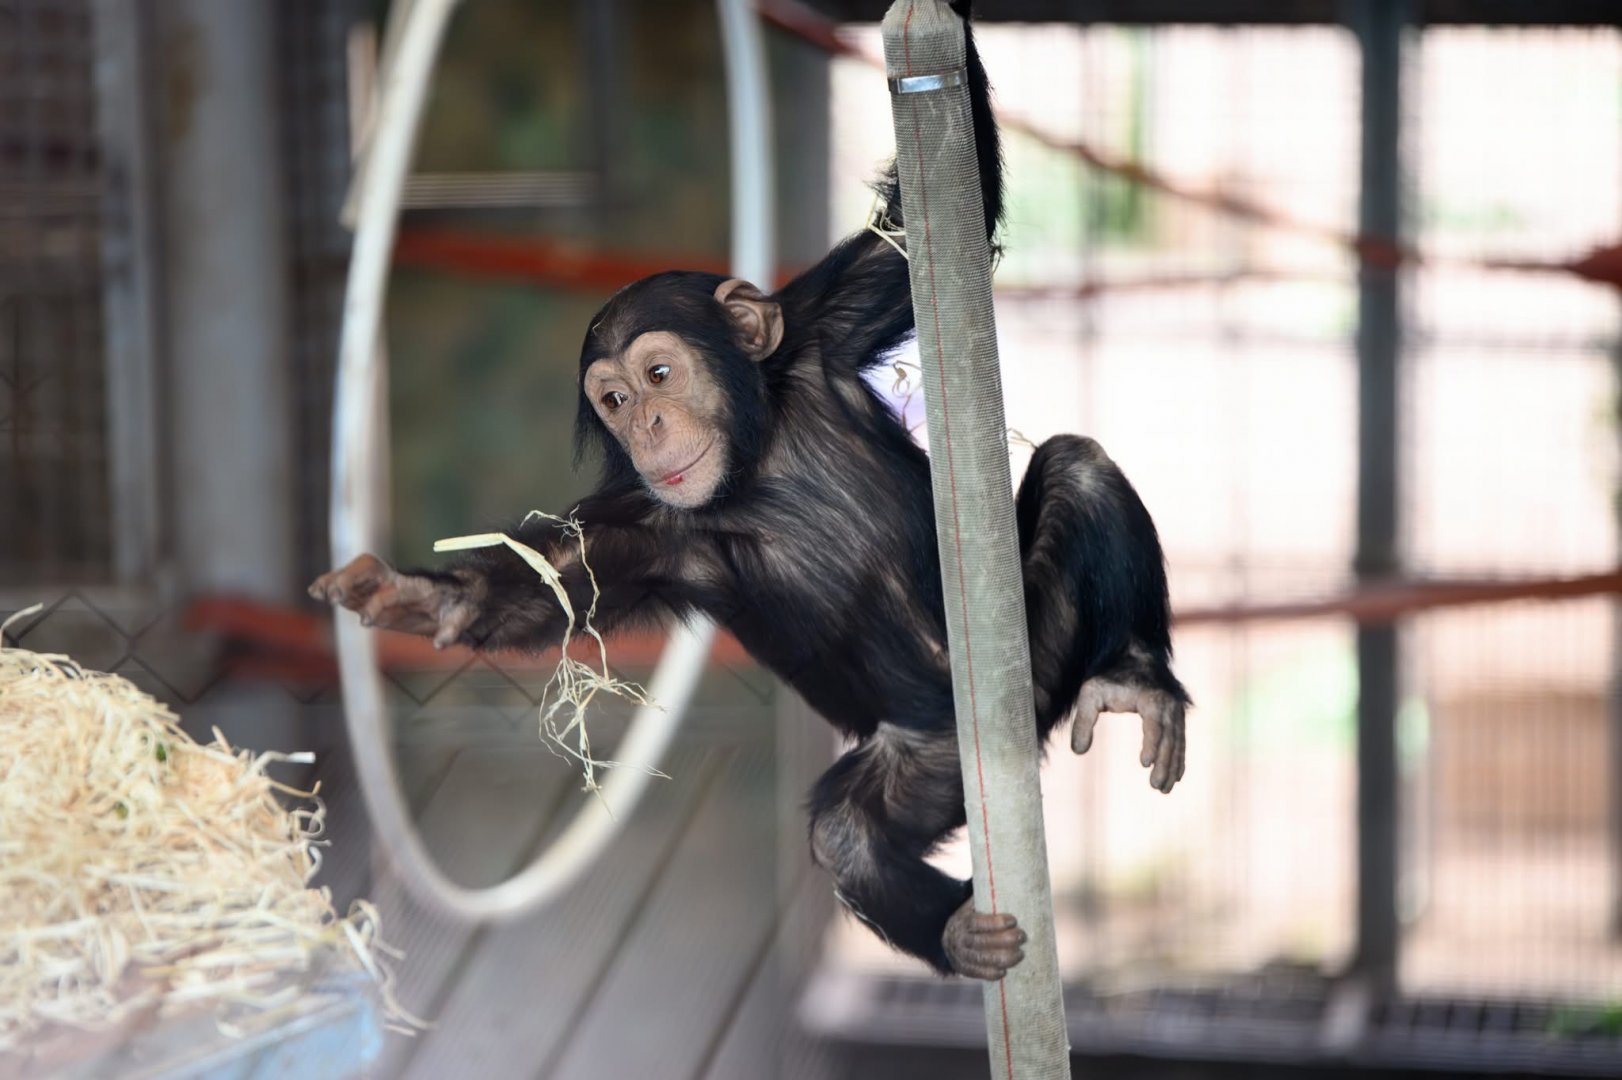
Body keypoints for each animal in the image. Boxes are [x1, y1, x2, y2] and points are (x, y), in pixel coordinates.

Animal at [311, 1, 1188, 980]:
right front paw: (417, 595)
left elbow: (916, 233)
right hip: (931, 754)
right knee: (848, 832)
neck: (758, 460)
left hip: (1035, 655)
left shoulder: (827, 325)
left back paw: (1135, 678)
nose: (649, 426)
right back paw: (958, 933)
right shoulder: (644, 529)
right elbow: (540, 590)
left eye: (659, 373)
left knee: (1079, 468)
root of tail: (1020, 726)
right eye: (614, 401)